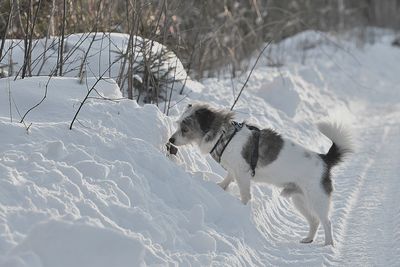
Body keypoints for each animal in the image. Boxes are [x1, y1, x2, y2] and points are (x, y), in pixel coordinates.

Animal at [167, 103, 352, 247]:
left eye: (185, 129)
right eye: (178, 125)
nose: (170, 140)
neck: (223, 136)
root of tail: (324, 160)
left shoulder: (243, 173)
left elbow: (244, 194)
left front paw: (242, 207)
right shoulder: (235, 170)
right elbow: (228, 178)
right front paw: (220, 186)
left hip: (317, 199)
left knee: (326, 222)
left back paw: (328, 244)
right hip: (299, 199)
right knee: (314, 221)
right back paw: (308, 239)